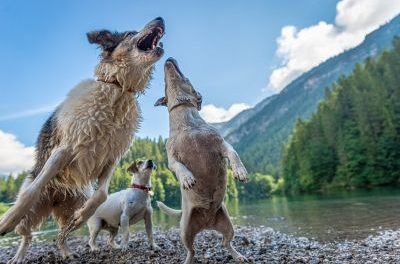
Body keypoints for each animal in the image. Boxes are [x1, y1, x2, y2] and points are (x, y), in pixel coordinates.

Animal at [0, 17, 164, 262]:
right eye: (129, 33)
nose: (160, 19)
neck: (117, 88)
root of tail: (56, 198)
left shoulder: (111, 159)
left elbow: (101, 195)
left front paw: (84, 214)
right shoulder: (64, 149)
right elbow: (32, 191)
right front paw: (7, 219)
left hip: (75, 201)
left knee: (62, 234)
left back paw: (68, 251)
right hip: (34, 213)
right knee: (27, 234)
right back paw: (19, 254)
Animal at [155, 58, 247, 264]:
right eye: (164, 83)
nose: (169, 59)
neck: (186, 121)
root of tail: (207, 224)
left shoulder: (222, 145)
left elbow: (234, 154)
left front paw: (240, 171)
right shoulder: (172, 159)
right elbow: (179, 166)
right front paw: (187, 178)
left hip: (228, 225)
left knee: (226, 242)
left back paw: (238, 255)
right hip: (184, 232)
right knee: (192, 251)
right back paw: (188, 260)